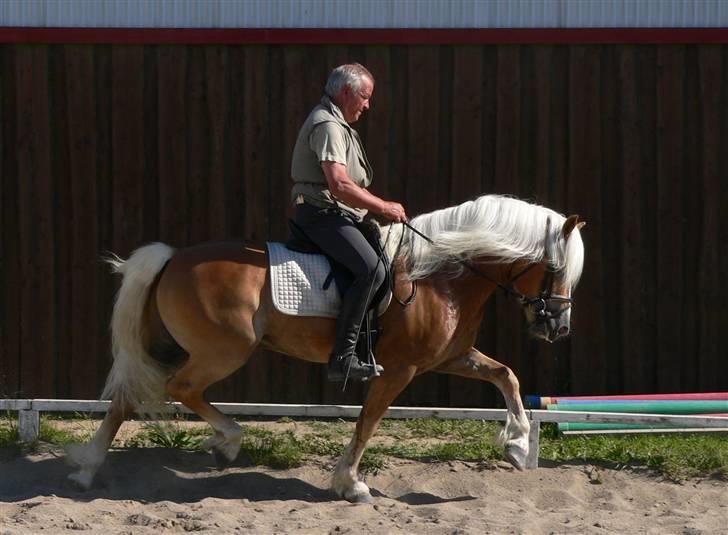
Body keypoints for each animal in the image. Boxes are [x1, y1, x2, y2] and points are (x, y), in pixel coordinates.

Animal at [67, 195, 584, 504]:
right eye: (556, 269)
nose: (558, 326)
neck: (439, 275)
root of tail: (173, 258)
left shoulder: (450, 357)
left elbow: (507, 376)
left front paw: (518, 446)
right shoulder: (401, 368)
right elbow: (368, 421)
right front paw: (350, 483)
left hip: (175, 346)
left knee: (128, 399)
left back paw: (88, 472)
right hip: (222, 351)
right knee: (180, 389)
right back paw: (227, 441)